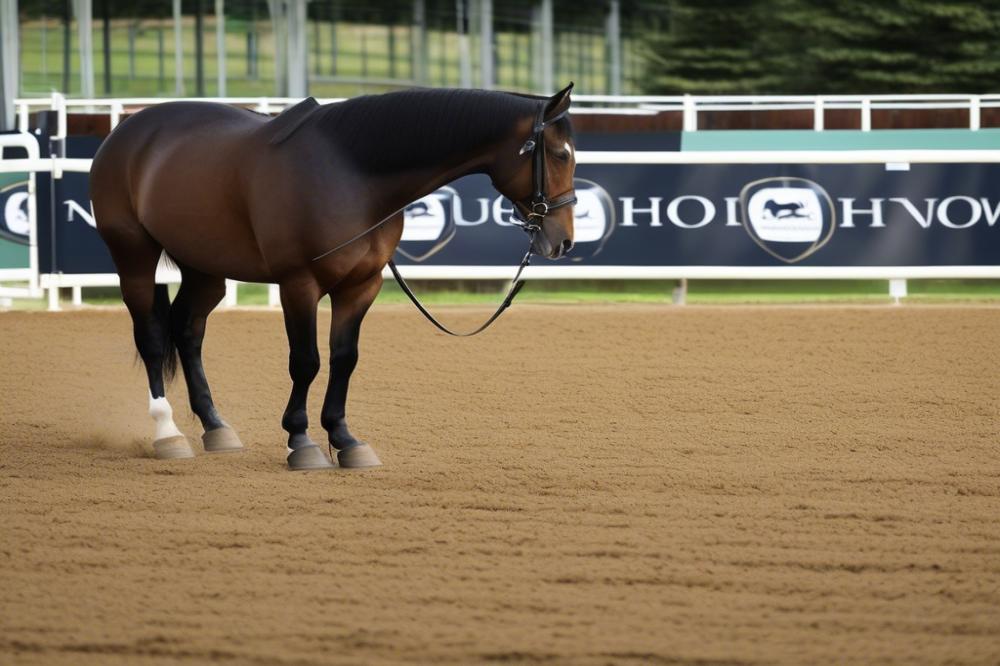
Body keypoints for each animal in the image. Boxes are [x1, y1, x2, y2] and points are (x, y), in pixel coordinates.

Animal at [94, 85, 584, 470]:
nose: (562, 241)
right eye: (560, 154)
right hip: (134, 257)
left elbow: (344, 358)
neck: (351, 172)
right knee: (153, 336)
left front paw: (345, 440)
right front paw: (301, 441)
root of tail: (127, 131)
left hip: (205, 269)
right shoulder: (298, 285)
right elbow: (306, 361)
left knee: (188, 332)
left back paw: (216, 428)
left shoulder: (361, 286)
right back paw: (168, 434)